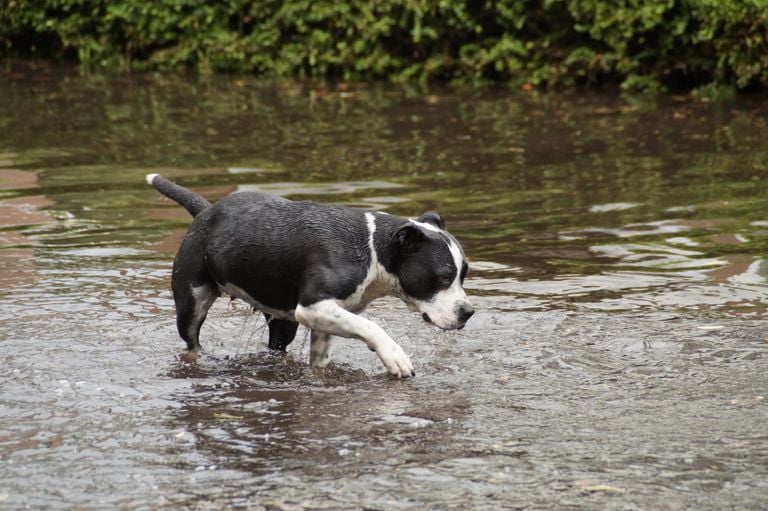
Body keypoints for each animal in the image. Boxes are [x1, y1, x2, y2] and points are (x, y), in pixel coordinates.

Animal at [146, 174, 472, 378]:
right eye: (444, 277)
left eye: (463, 275)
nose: (468, 312)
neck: (373, 248)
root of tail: (207, 210)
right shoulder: (314, 306)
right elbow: (372, 326)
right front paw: (394, 356)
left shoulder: (326, 317)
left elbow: (321, 356)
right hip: (192, 301)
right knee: (191, 342)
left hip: (282, 319)